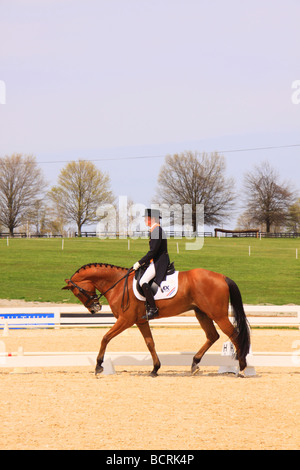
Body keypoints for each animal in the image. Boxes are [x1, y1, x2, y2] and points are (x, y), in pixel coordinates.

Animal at [62, 262, 251, 376]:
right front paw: (155, 368)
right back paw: (195, 364)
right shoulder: (141, 321)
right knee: (213, 336)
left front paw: (99, 365)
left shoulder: (126, 320)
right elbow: (150, 343)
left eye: (77, 292)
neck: (117, 283)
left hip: (217, 314)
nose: (94, 308)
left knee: (234, 335)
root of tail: (222, 277)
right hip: (201, 313)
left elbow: (105, 337)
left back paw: (242, 368)